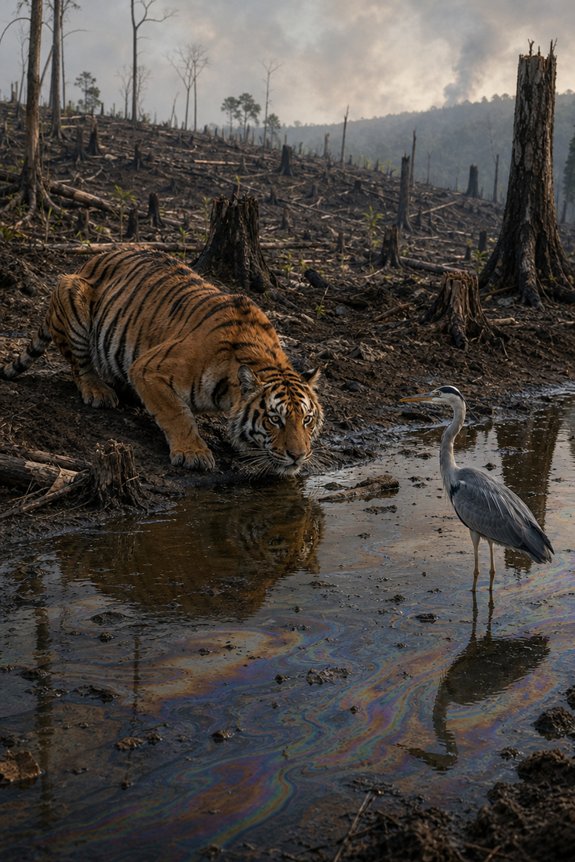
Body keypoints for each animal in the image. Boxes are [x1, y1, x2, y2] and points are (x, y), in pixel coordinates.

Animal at [0, 249, 323, 476]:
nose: (298, 455)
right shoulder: (148, 368)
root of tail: (87, 262)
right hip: (73, 295)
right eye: (275, 419)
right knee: (80, 366)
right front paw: (193, 453)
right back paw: (98, 391)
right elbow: (177, 414)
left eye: (307, 419)